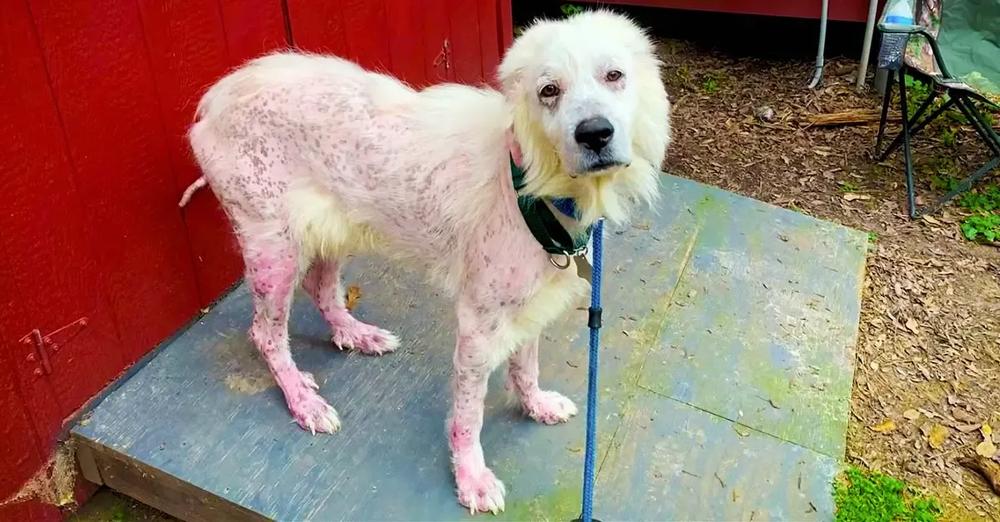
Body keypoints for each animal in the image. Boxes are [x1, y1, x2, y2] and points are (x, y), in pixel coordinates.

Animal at [186, 9, 672, 512]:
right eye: (548, 91)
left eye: (614, 75)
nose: (595, 134)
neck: (529, 184)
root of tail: (216, 99)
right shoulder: (477, 327)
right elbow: (468, 415)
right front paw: (471, 477)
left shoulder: (530, 306)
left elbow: (526, 366)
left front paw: (535, 404)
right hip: (274, 250)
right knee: (265, 334)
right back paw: (302, 400)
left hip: (334, 228)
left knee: (322, 289)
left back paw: (355, 334)